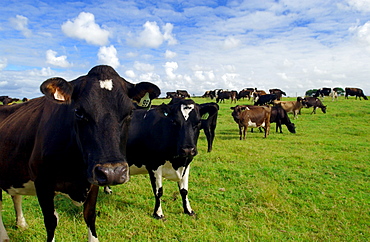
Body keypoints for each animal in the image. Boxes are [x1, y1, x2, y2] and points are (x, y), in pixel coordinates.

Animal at [0, 65, 161, 241]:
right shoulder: (42, 184)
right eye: (78, 112)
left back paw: (21, 223)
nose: (113, 172)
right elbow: (51, 221)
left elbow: (90, 215)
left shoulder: (93, 180)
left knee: (15, 195)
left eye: (130, 112)